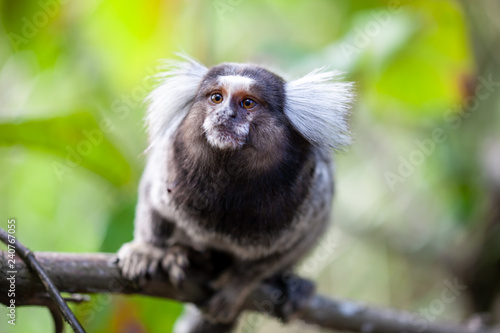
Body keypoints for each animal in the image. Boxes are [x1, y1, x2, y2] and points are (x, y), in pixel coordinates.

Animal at [117, 55, 354, 330]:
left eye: (248, 103)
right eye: (216, 98)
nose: (225, 114)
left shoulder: (312, 196)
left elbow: (291, 245)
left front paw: (237, 285)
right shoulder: (167, 165)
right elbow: (151, 198)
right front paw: (147, 250)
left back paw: (294, 286)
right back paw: (181, 255)